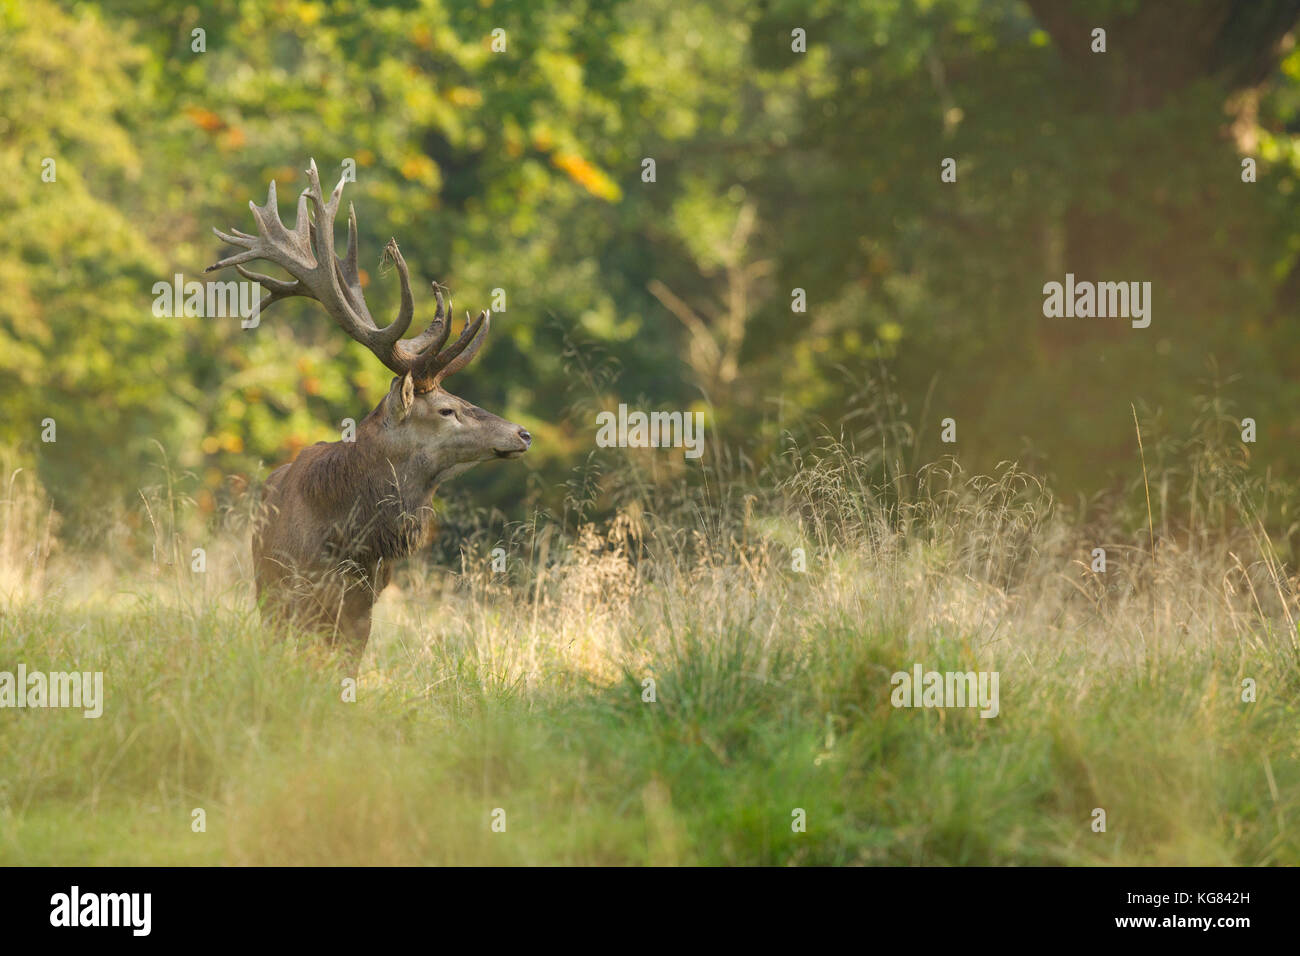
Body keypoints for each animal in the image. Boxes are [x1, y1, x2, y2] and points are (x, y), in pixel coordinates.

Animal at [207, 160, 531, 672]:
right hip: (266, 585)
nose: (522, 433)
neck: (347, 538)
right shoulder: (294, 591)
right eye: (447, 409)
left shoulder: (364, 603)